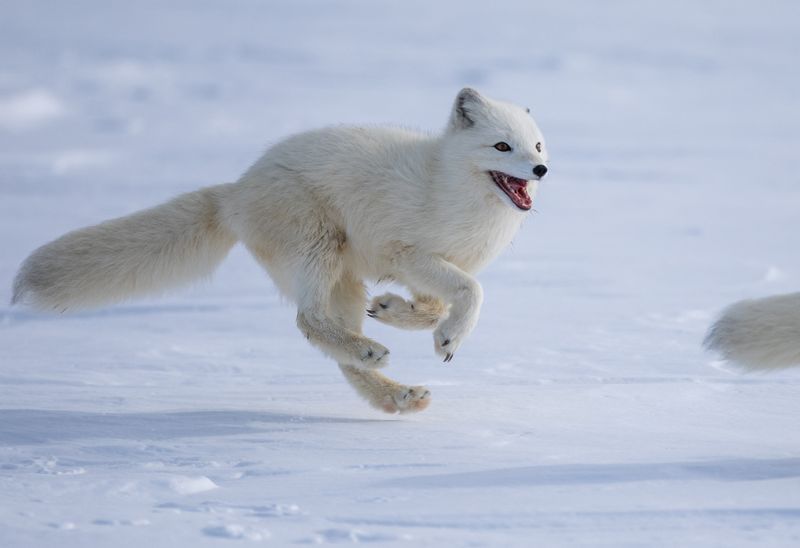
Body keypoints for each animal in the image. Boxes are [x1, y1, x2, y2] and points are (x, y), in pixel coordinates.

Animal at [12, 88, 552, 414]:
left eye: (538, 146)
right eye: (502, 147)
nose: (541, 171)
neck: (448, 188)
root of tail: (236, 190)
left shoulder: (427, 268)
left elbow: (437, 304)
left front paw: (401, 312)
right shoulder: (406, 251)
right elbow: (472, 291)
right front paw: (449, 338)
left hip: (344, 279)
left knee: (335, 350)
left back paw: (396, 394)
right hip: (319, 247)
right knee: (308, 322)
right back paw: (373, 356)